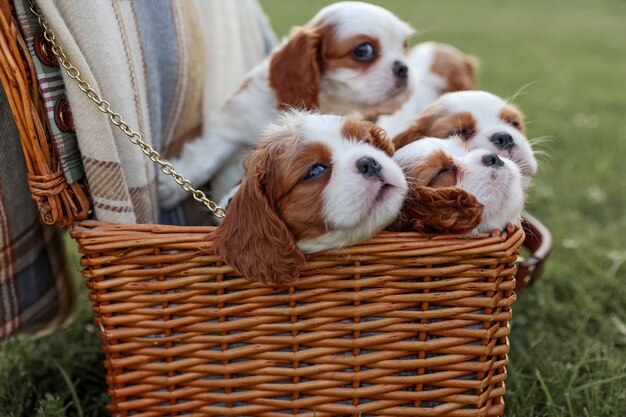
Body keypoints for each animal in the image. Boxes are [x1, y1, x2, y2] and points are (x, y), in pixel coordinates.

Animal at [160, 0, 414, 207]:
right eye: (363, 50)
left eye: (404, 46)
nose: (404, 68)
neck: (330, 101)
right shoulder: (234, 121)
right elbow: (207, 157)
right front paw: (170, 188)